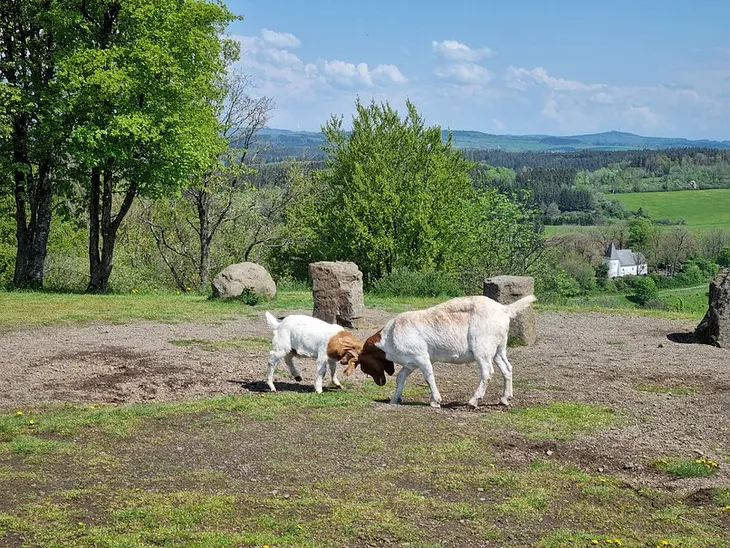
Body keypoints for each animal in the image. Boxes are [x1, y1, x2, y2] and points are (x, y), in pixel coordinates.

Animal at [346, 296, 536, 406]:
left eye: (365, 366)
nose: (380, 382)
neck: (389, 337)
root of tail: (504, 310)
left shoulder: (421, 356)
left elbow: (429, 376)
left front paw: (435, 400)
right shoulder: (410, 362)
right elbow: (401, 377)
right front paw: (395, 399)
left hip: (482, 347)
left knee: (487, 372)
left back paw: (473, 400)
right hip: (498, 348)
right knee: (507, 368)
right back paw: (505, 398)